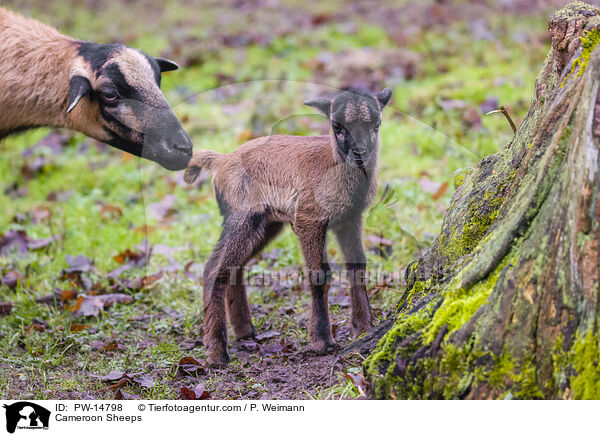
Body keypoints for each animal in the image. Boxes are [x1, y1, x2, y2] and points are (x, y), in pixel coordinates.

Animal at [184, 87, 394, 366]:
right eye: (337, 126)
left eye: (376, 124)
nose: (360, 153)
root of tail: (221, 161)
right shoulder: (308, 219)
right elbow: (320, 275)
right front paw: (322, 341)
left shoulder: (350, 220)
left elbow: (357, 266)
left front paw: (364, 328)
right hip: (242, 216)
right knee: (214, 269)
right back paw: (217, 352)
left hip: (266, 223)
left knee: (231, 266)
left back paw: (244, 331)